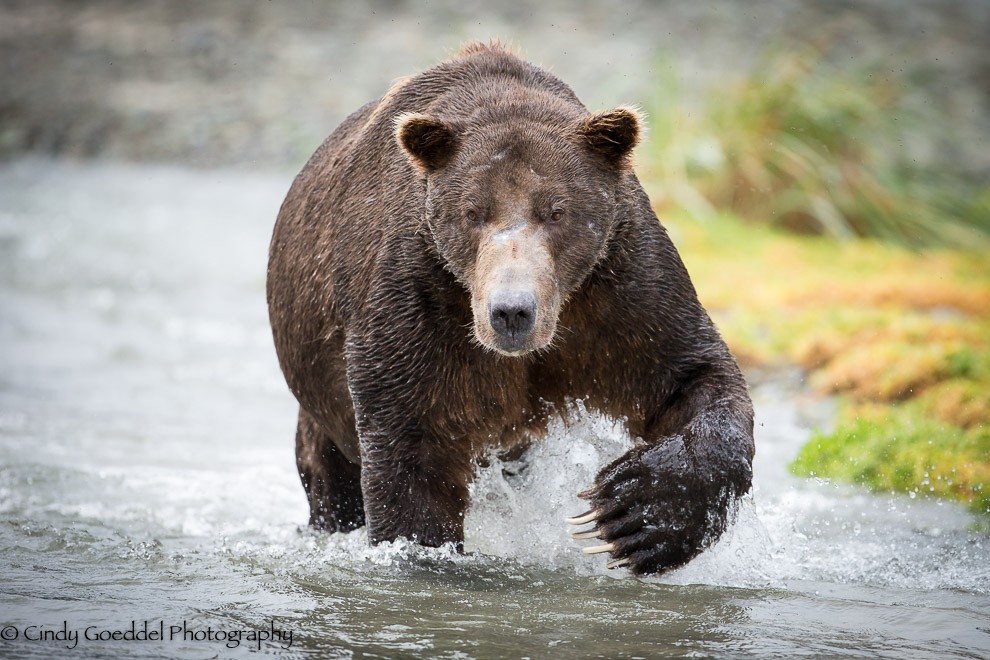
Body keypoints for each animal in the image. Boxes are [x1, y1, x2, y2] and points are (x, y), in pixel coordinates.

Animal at [268, 43, 756, 576]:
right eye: (473, 212)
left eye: (557, 211)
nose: (511, 312)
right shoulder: (419, 303)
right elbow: (412, 448)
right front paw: (423, 549)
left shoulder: (620, 295)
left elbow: (693, 375)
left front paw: (634, 513)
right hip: (321, 391)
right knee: (328, 478)